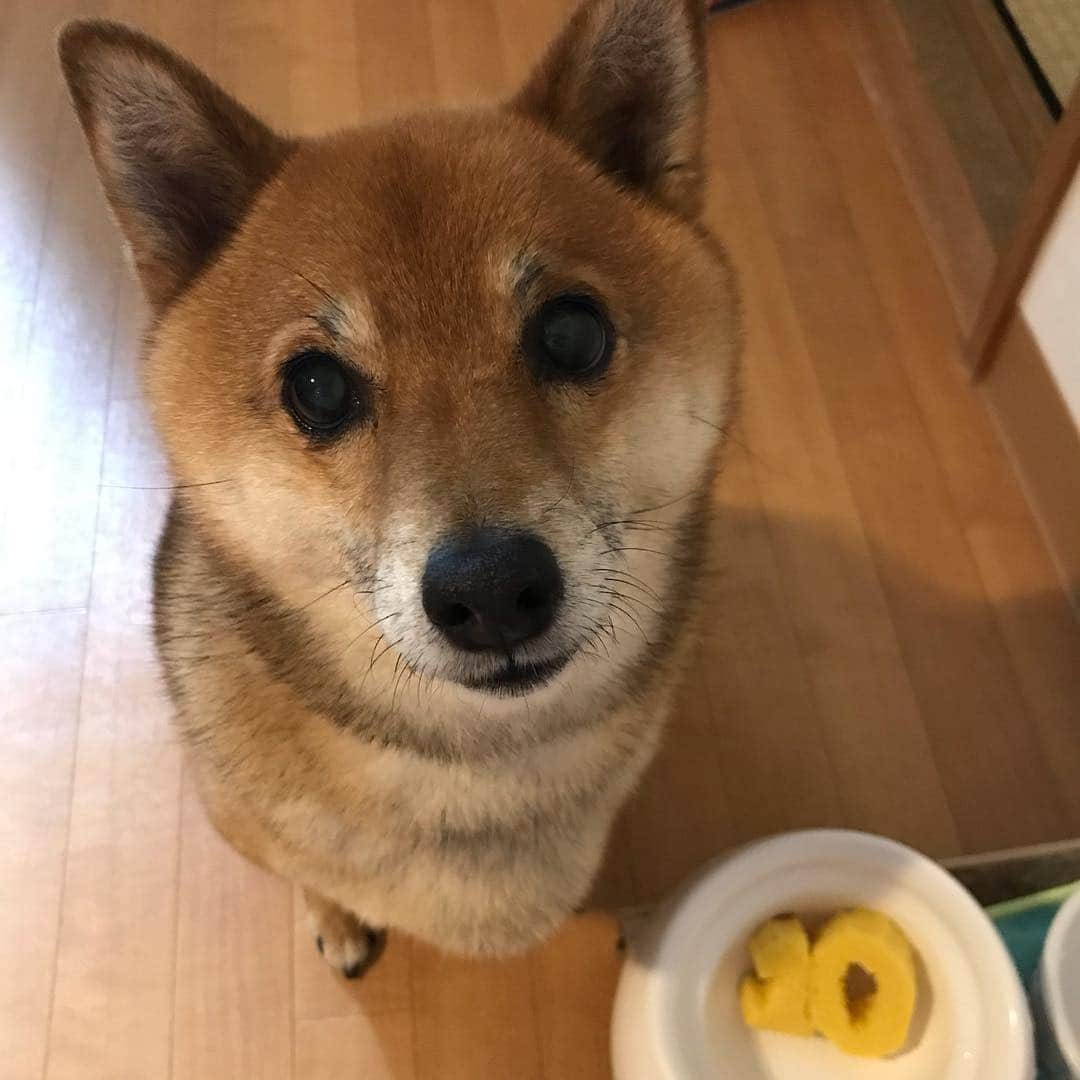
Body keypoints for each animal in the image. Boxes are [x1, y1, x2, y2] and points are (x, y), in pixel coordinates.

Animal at [56, 0, 734, 980]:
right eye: (317, 387)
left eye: (572, 333)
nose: (491, 589)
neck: (477, 770)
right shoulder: (245, 822)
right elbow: (310, 873)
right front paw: (336, 917)